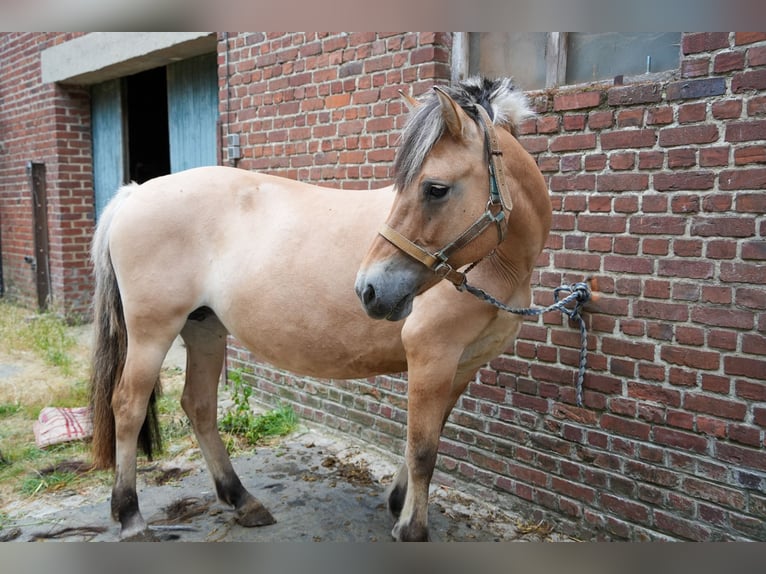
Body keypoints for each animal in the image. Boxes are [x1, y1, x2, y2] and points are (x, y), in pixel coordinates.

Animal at [88, 76, 551, 542]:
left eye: (434, 188)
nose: (369, 289)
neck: (500, 266)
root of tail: (136, 193)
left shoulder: (464, 363)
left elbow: (429, 434)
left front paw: (399, 504)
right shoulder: (431, 355)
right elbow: (422, 448)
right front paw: (411, 529)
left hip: (204, 328)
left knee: (199, 405)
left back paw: (241, 500)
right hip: (152, 332)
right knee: (127, 407)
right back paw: (130, 515)